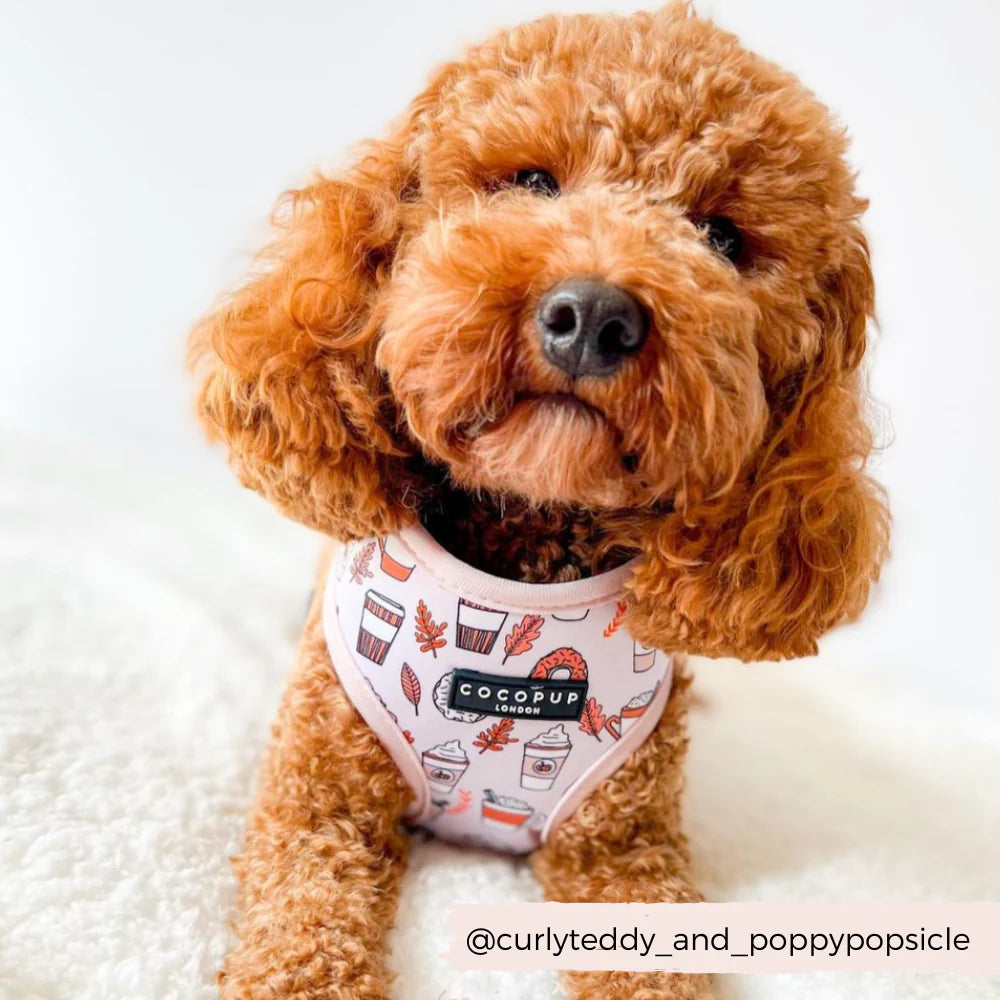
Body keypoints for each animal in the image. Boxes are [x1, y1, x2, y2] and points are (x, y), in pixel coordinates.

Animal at [189, 3, 892, 996]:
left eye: (723, 237)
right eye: (530, 181)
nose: (594, 315)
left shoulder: (623, 852)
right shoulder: (320, 803)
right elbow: (303, 933)